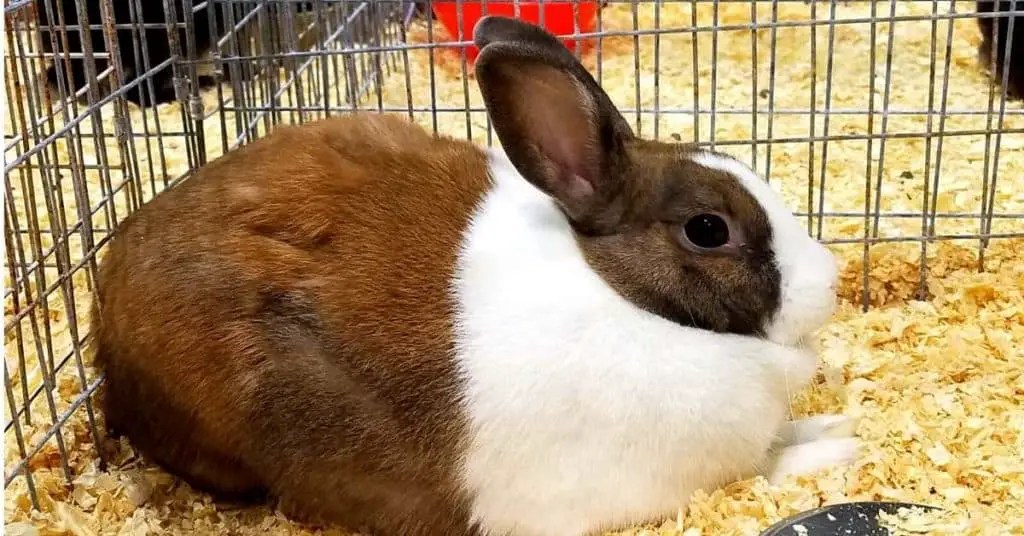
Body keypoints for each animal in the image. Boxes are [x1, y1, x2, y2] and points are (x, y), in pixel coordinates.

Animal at [91, 15, 859, 536]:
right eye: (708, 229)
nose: (831, 279)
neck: (624, 296)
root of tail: (106, 322)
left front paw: (834, 421)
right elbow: (769, 465)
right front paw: (838, 445)